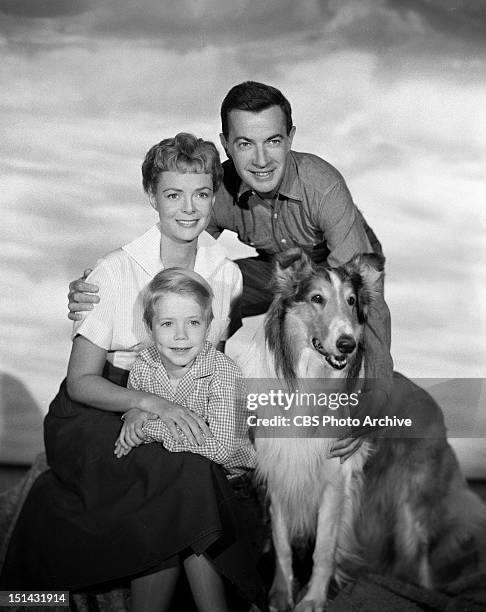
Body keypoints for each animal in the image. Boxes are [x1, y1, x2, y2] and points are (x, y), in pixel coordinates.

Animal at [240, 249, 486, 612]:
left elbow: (324, 549)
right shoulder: (280, 472)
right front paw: (280, 595)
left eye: (351, 300)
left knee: (420, 558)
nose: (348, 344)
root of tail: (432, 401)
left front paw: (312, 600)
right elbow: (282, 544)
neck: (309, 382)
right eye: (316, 298)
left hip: (412, 503)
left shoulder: (335, 481)